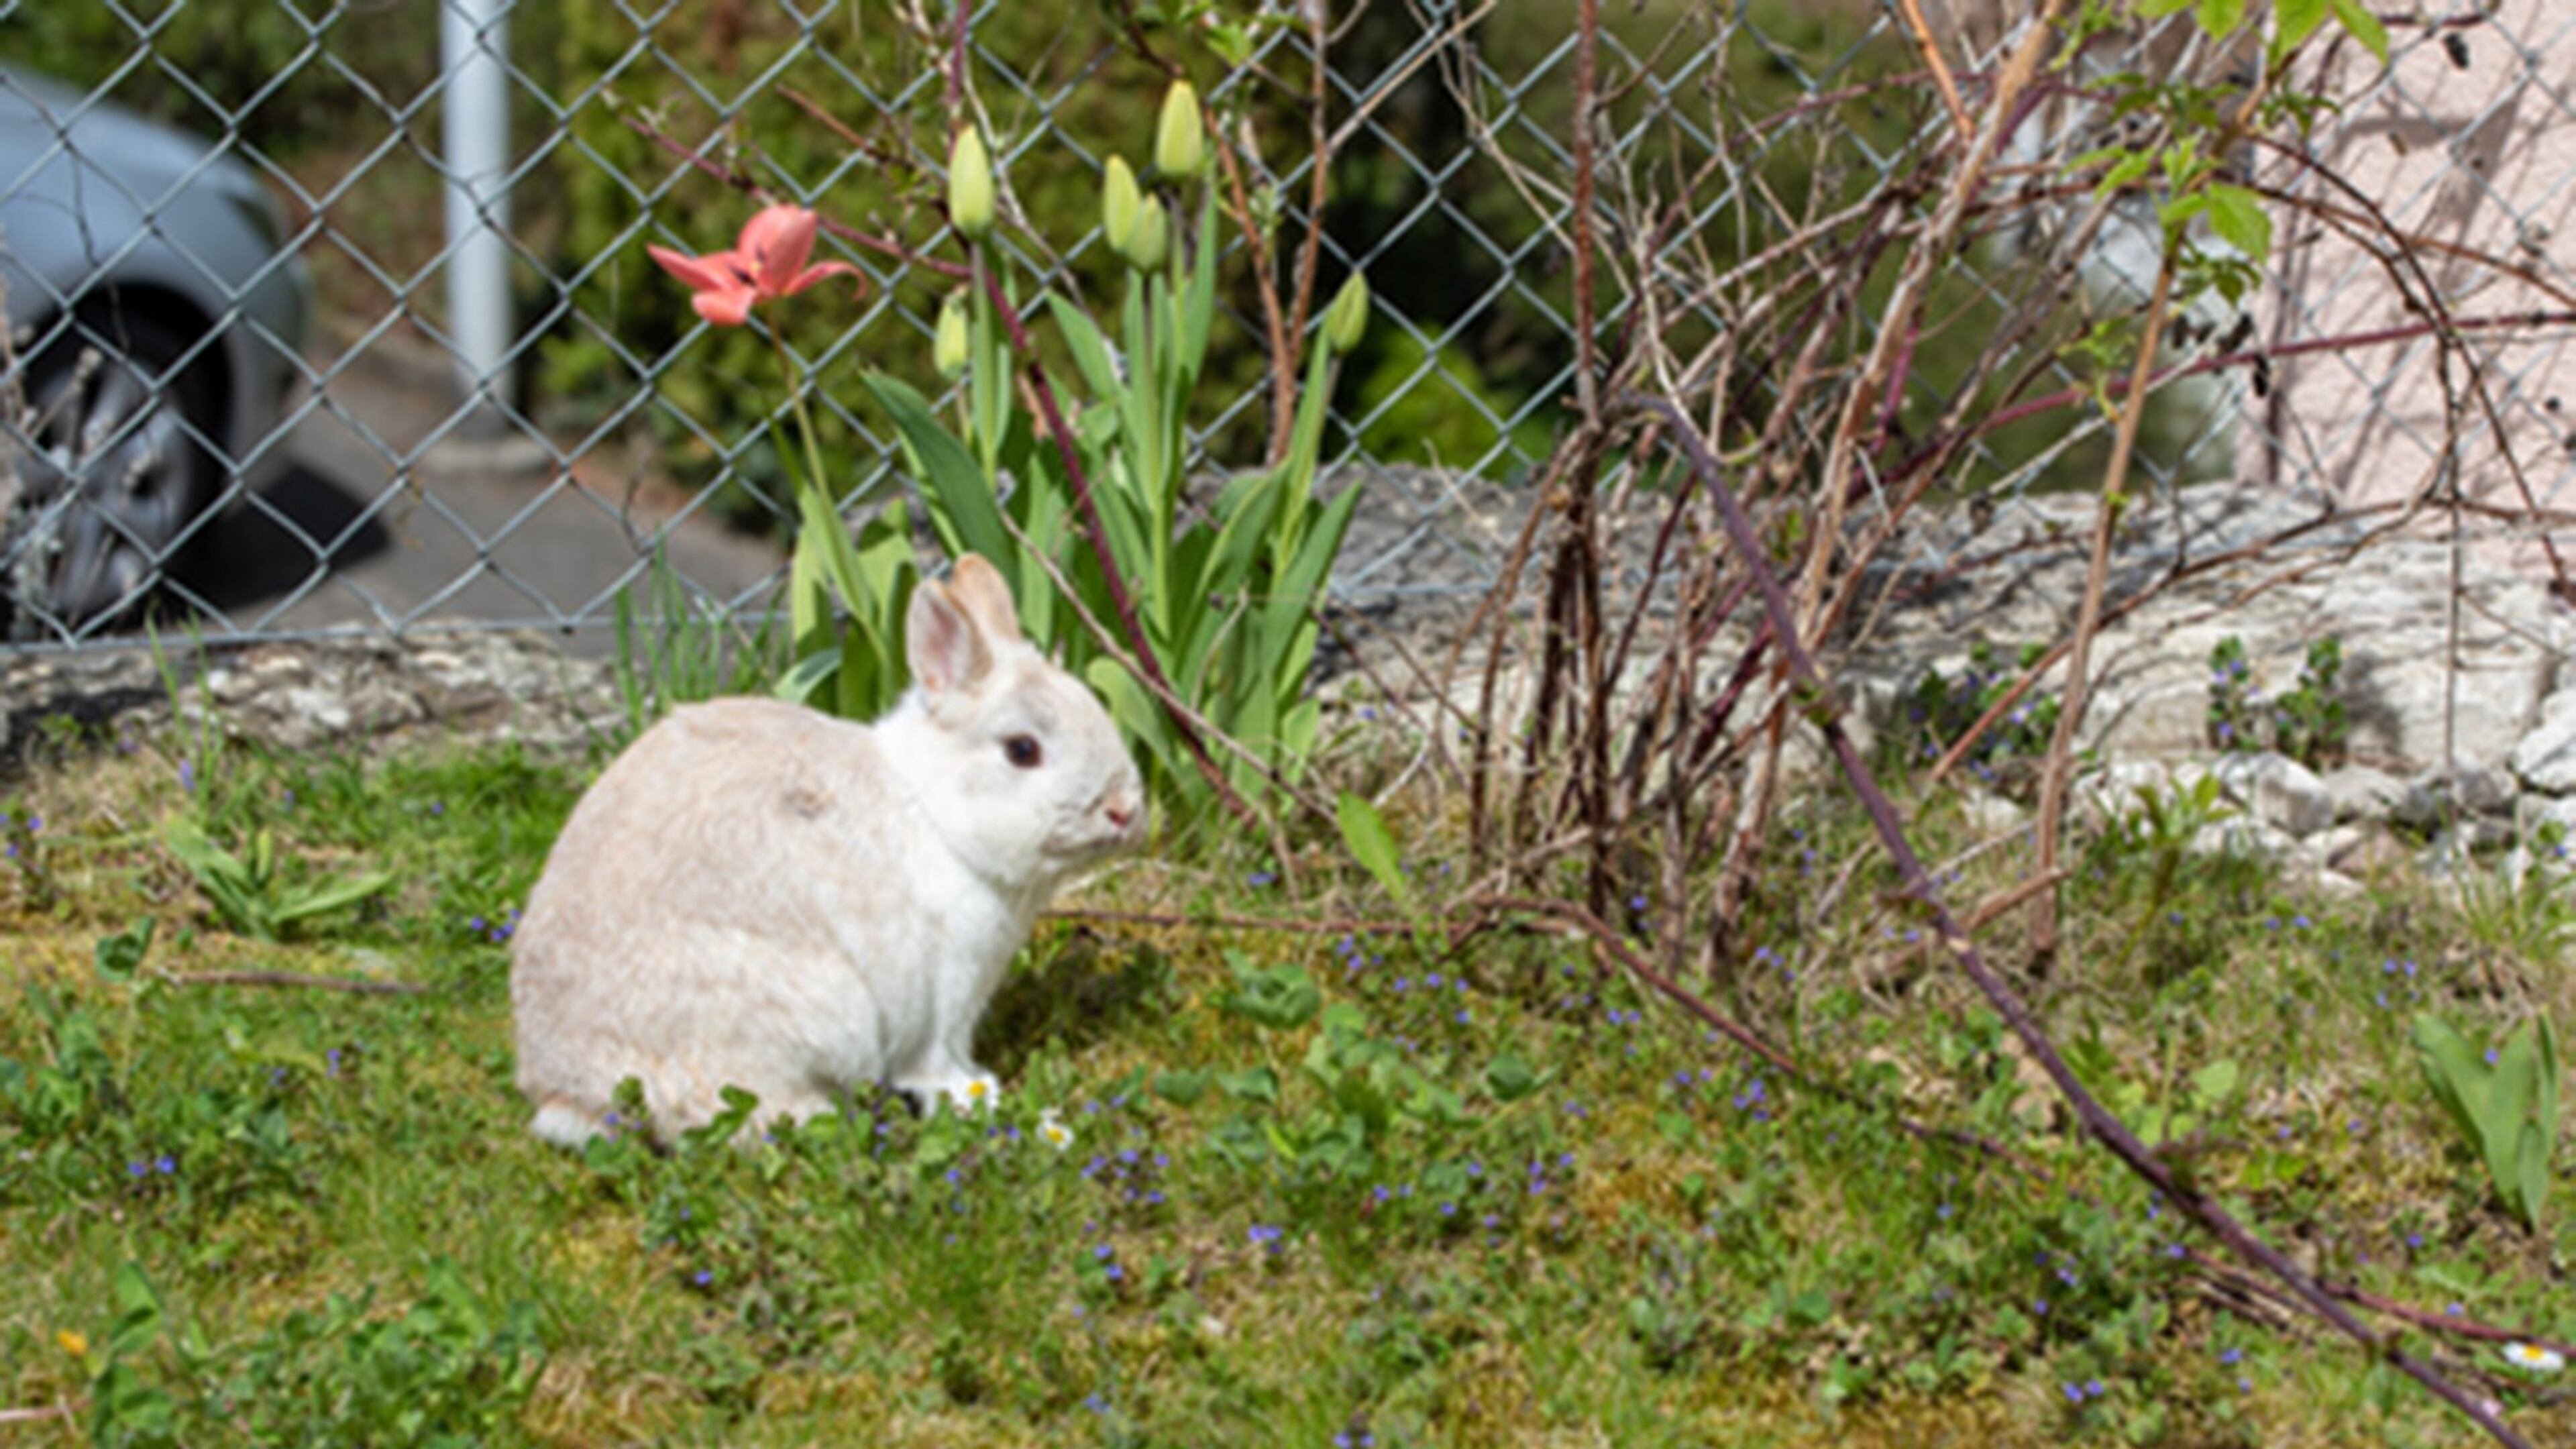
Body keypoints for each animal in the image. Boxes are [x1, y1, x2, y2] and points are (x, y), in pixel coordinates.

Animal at [509, 553, 1146, 1147]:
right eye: (1022, 750)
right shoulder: (944, 999)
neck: (931, 807)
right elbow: (936, 1065)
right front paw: (982, 1093)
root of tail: (569, 1090)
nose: (1125, 810)